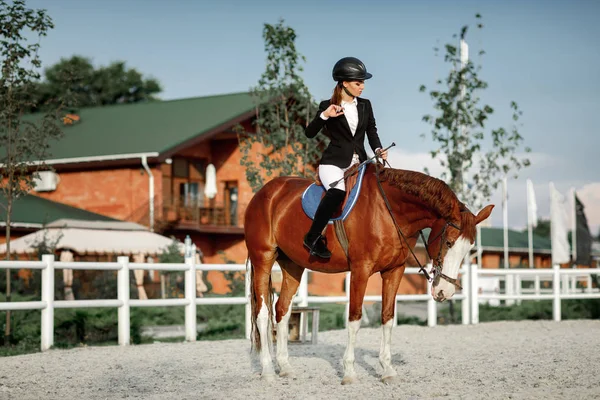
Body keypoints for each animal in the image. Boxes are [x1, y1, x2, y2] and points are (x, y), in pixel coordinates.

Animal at [244, 164, 492, 382]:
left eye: (469, 248)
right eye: (448, 242)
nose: (445, 292)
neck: (390, 210)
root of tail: (266, 192)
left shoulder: (394, 271)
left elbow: (388, 317)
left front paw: (388, 370)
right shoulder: (360, 270)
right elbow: (354, 319)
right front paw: (349, 373)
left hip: (293, 265)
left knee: (282, 310)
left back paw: (285, 367)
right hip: (263, 259)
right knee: (262, 313)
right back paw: (268, 371)